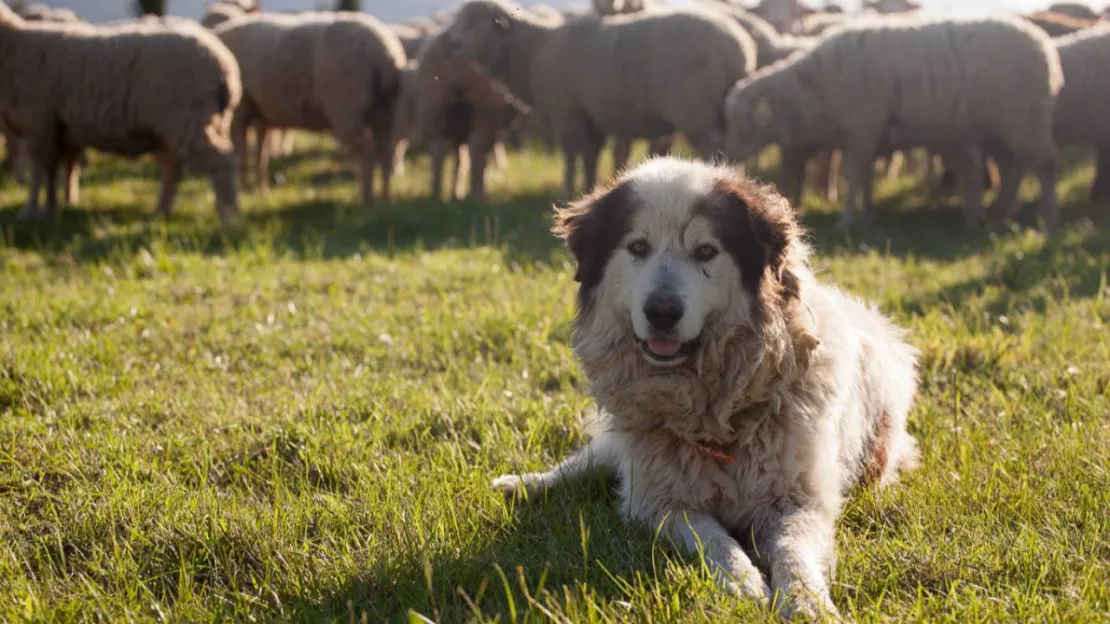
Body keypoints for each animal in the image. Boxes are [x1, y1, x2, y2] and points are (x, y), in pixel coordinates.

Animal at [0, 2, 241, 219]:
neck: (13, 45)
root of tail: (226, 67)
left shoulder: (37, 123)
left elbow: (39, 172)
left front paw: (30, 212)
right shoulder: (61, 128)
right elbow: (58, 169)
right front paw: (55, 207)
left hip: (188, 120)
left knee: (221, 161)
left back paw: (228, 216)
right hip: (200, 123)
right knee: (175, 168)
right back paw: (161, 211)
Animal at [397, 32, 530, 199]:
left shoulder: (457, 132)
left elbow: (460, 160)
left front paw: (455, 192)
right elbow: (476, 160)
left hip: (435, 106)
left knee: (437, 150)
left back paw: (436, 193)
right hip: (481, 110)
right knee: (476, 148)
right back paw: (478, 194)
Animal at [495, 156, 919, 617]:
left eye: (705, 251)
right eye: (638, 248)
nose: (662, 312)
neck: (718, 413)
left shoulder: (799, 501)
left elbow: (792, 552)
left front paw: (807, 602)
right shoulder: (659, 501)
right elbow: (711, 536)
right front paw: (743, 582)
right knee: (583, 464)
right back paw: (521, 484)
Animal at [723, 13, 1061, 228]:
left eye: (742, 123)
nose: (729, 158)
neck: (814, 86)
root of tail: (1045, 49)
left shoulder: (862, 126)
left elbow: (853, 176)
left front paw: (847, 220)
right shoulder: (864, 136)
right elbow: (866, 178)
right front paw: (867, 214)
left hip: (1025, 118)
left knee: (1045, 166)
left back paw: (1048, 217)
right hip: (1003, 128)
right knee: (1012, 168)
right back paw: (998, 214)